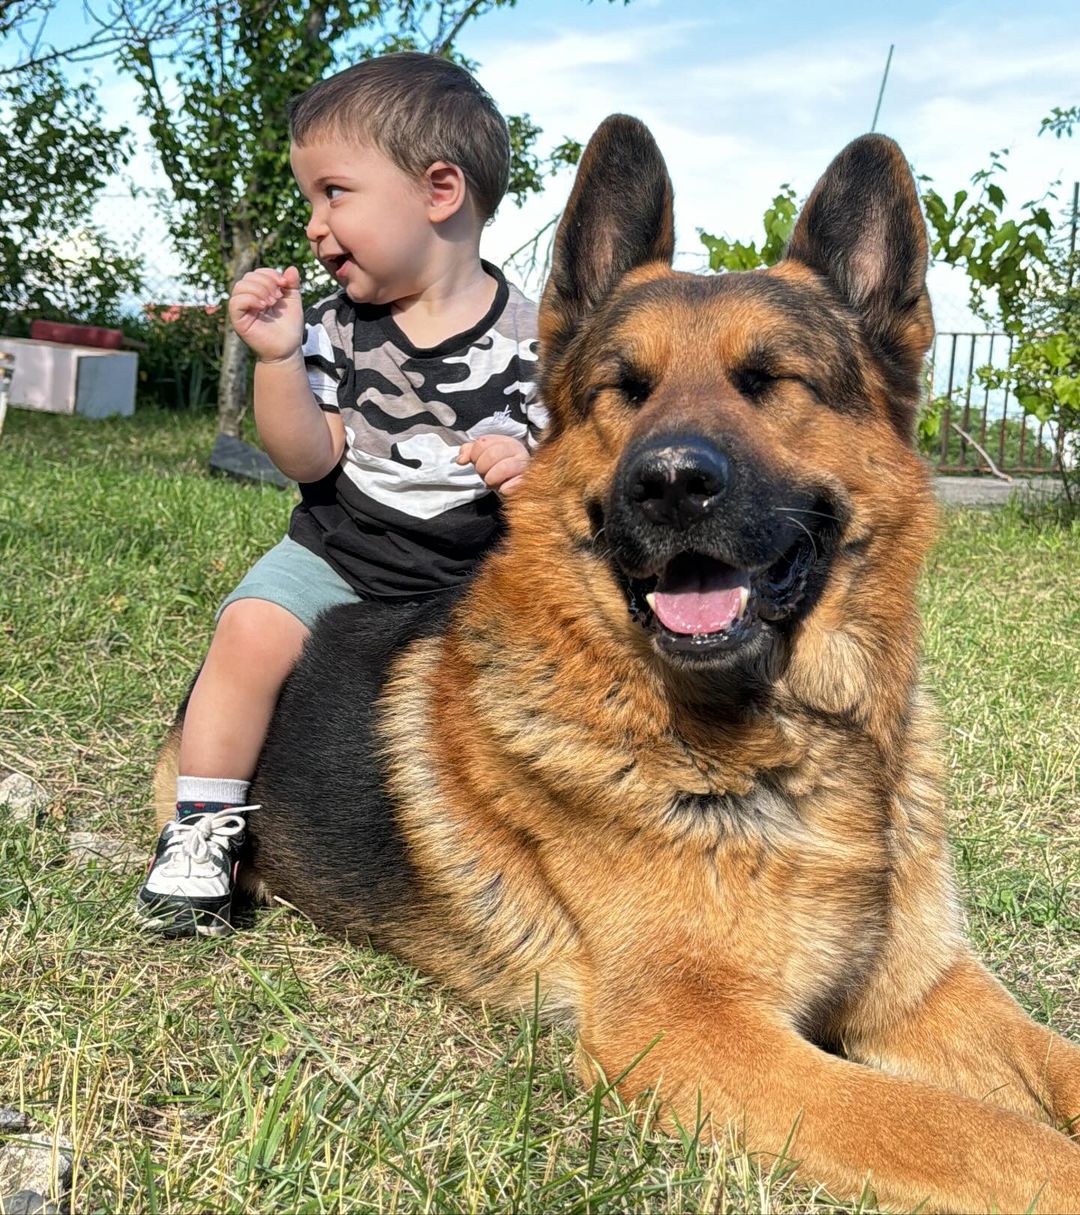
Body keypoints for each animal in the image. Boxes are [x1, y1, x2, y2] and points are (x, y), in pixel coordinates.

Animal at [155, 118, 1078, 1210]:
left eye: (771, 381)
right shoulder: (694, 1033)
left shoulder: (924, 989)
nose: (670, 483)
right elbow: (982, 1138)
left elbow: (1052, 1067)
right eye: (624, 391)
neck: (799, 748)